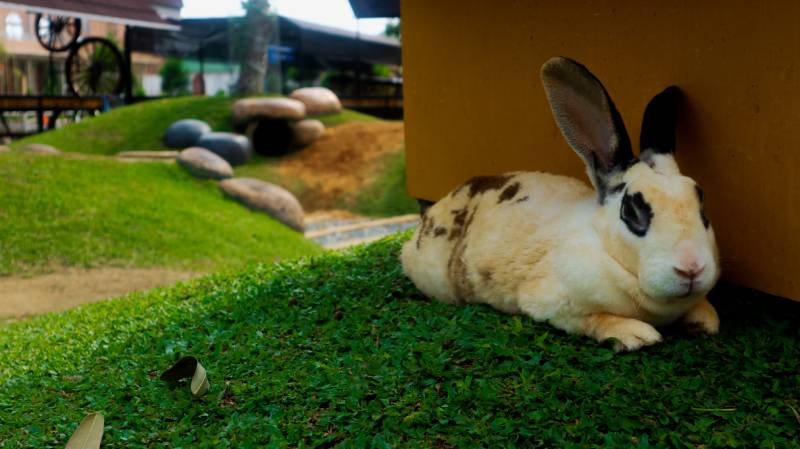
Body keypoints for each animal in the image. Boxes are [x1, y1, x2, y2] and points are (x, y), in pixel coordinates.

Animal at [404, 57, 720, 350]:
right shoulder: (552, 305)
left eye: (701, 205)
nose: (691, 269)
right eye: (630, 211)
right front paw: (635, 335)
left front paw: (704, 321)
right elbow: (594, 319)